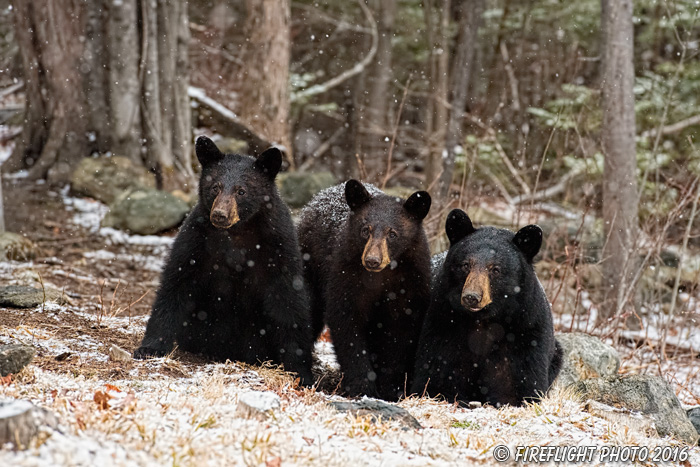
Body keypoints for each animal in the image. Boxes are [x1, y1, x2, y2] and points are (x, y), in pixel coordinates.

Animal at [134, 137, 314, 386]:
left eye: (242, 191)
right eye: (215, 187)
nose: (220, 215)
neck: (236, 234)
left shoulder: (278, 246)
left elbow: (288, 299)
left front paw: (301, 373)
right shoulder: (196, 238)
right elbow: (176, 282)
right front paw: (149, 348)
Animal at [300, 181, 432, 400]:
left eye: (392, 234)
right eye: (365, 230)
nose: (372, 260)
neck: (383, 275)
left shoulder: (410, 283)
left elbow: (401, 331)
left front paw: (390, 389)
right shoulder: (347, 275)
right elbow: (347, 322)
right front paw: (362, 386)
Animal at [410, 210, 564, 408]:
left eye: (495, 269)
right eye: (465, 265)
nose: (472, 297)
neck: (483, 320)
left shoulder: (524, 331)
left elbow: (517, 381)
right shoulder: (444, 323)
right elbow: (438, 371)